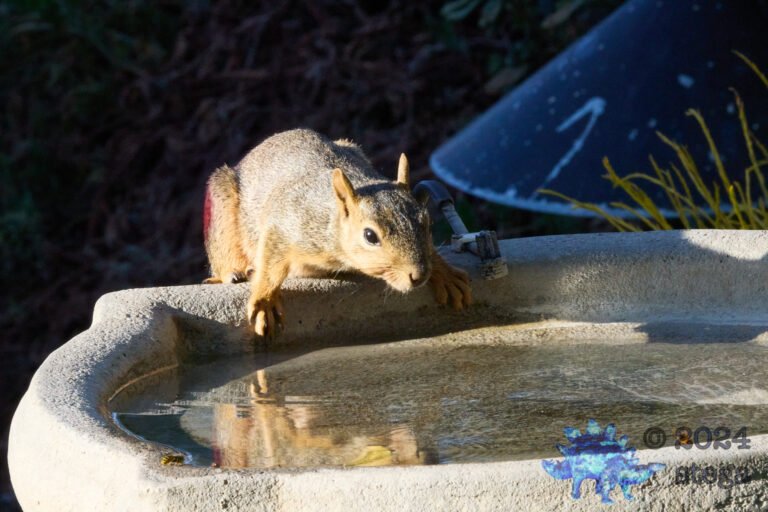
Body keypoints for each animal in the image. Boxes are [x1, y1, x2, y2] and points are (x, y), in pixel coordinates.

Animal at [203, 128, 472, 338]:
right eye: (370, 236)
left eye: (427, 223)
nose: (419, 275)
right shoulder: (286, 223)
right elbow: (270, 265)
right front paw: (264, 301)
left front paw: (444, 273)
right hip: (221, 212)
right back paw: (233, 273)